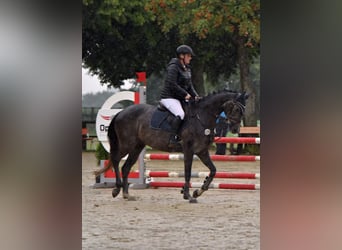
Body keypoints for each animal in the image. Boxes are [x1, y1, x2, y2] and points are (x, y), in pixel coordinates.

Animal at [95, 90, 247, 203]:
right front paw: (188, 195)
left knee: (125, 167)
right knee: (115, 160)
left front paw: (198, 191)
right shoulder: (189, 150)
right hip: (127, 145)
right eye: (235, 109)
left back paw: (127, 194)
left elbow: (213, 170)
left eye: (242, 111)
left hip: (137, 147)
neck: (201, 117)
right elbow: (187, 172)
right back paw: (116, 189)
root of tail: (121, 112)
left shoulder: (202, 151)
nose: (235, 129)